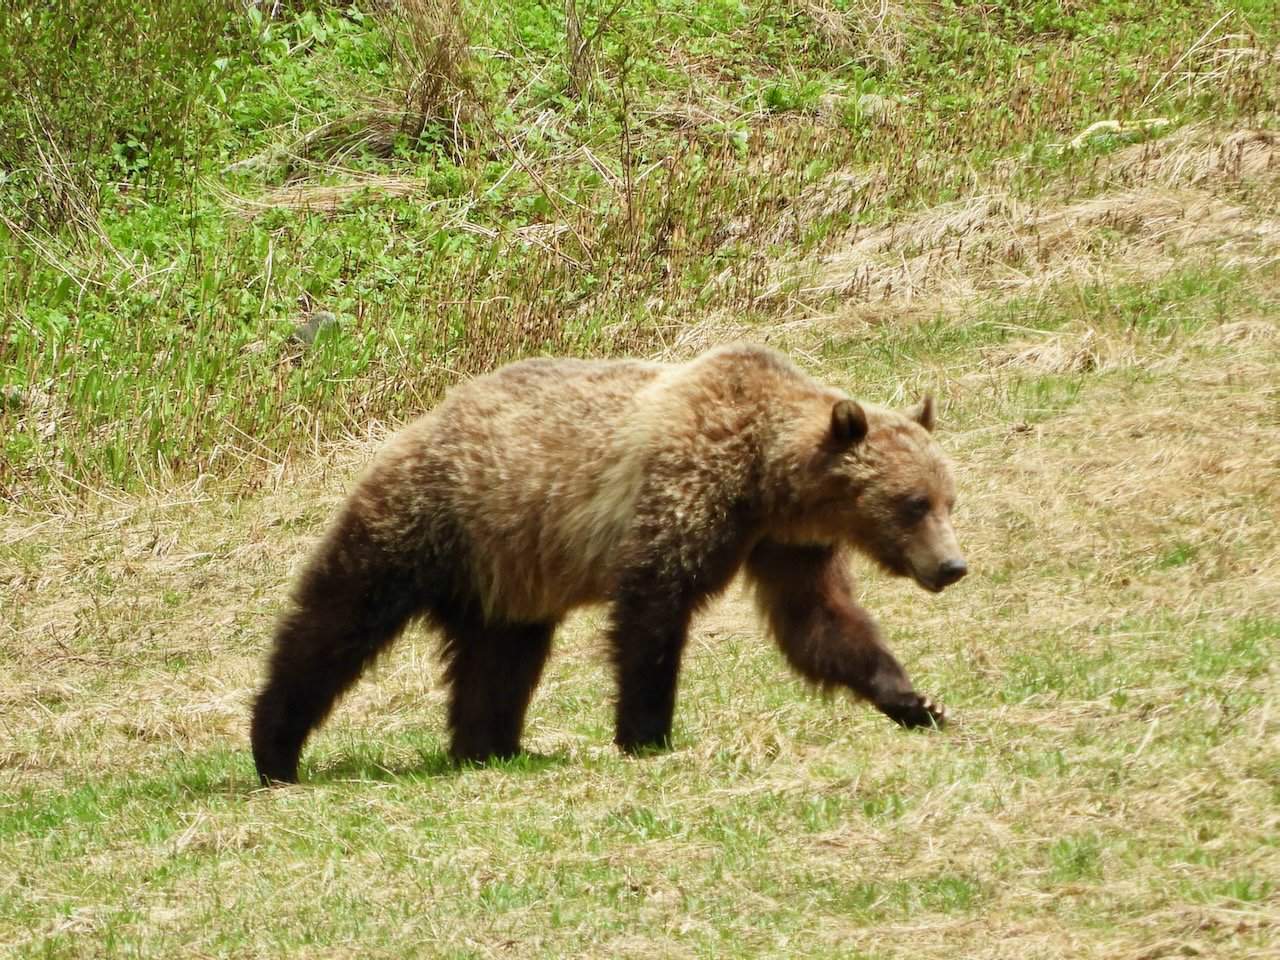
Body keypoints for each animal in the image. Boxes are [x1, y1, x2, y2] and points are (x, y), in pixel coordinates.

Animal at [250, 343, 967, 784]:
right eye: (912, 503)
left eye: (947, 498)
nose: (952, 565)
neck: (767, 480)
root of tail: (417, 421)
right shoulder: (681, 493)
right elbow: (652, 616)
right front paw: (648, 732)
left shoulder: (787, 546)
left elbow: (819, 622)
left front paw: (916, 700)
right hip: (433, 521)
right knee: (338, 621)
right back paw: (275, 748)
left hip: (506, 576)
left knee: (499, 663)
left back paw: (491, 746)